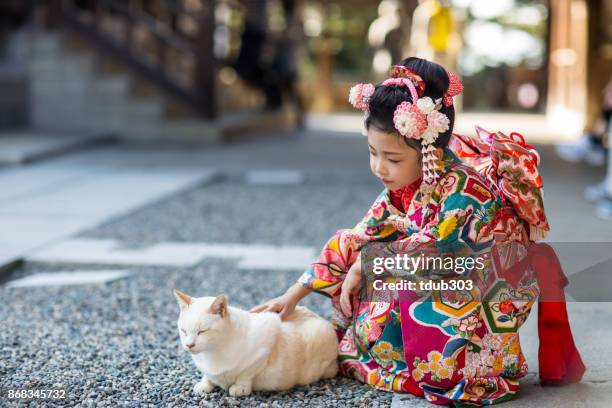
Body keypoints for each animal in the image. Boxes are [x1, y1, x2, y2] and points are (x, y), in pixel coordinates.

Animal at [173, 290, 340, 396]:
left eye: (202, 331)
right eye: (184, 331)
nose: (189, 345)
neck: (212, 353)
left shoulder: (266, 341)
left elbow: (246, 373)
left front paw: (240, 387)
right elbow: (207, 375)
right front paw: (205, 384)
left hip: (321, 334)